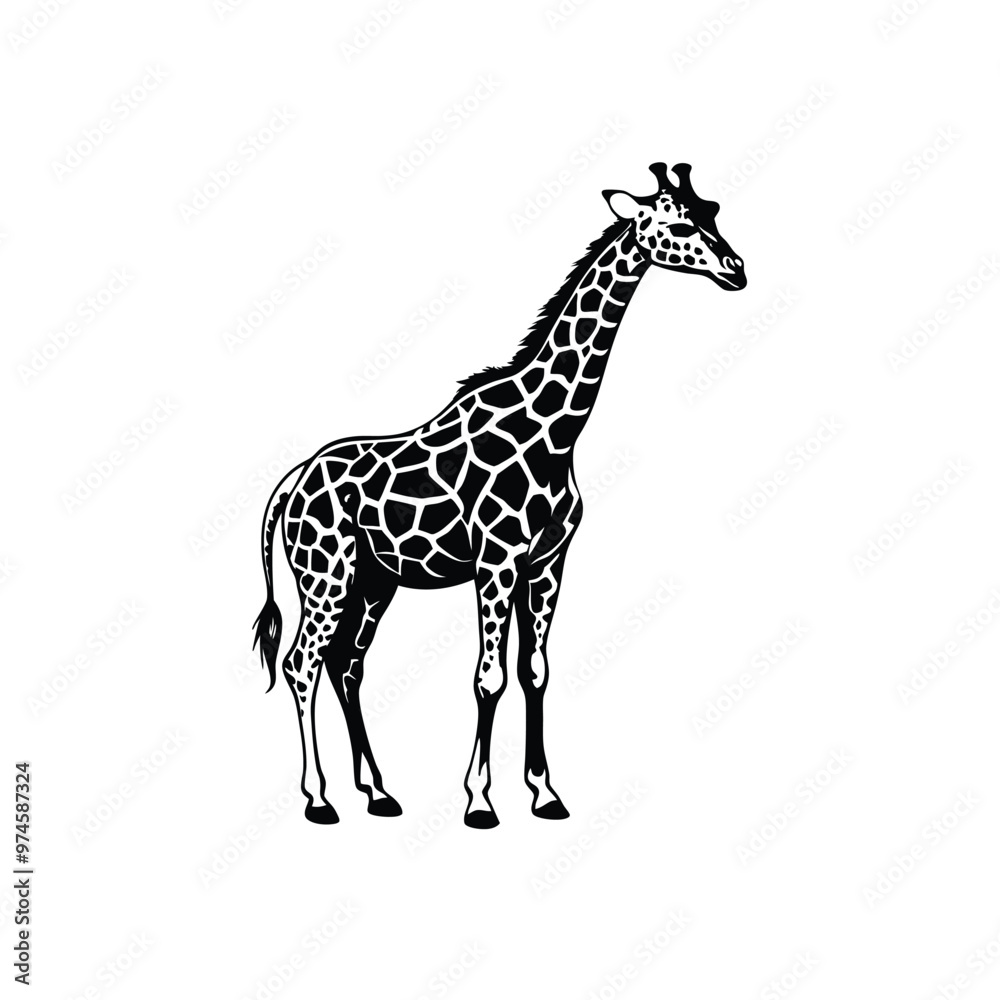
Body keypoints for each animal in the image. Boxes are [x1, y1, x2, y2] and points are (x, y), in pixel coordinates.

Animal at [254, 162, 746, 827]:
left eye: (712, 210)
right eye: (673, 222)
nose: (736, 268)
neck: (556, 429)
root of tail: (290, 483)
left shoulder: (547, 562)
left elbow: (533, 671)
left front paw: (545, 794)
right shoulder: (496, 561)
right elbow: (488, 679)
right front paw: (480, 801)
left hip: (375, 579)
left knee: (346, 664)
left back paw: (378, 792)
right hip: (324, 574)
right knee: (302, 665)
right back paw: (319, 798)